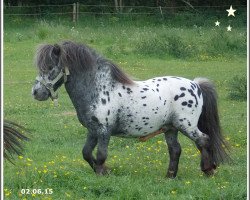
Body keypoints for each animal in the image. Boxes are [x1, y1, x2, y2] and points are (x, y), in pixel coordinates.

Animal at [31, 40, 229, 178]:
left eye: (50, 67)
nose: (36, 92)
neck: (99, 88)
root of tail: (195, 84)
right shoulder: (92, 130)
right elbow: (86, 153)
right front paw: (103, 171)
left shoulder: (104, 131)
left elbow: (101, 154)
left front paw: (102, 173)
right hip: (170, 128)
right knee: (175, 150)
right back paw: (169, 177)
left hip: (186, 125)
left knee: (203, 140)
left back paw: (208, 169)